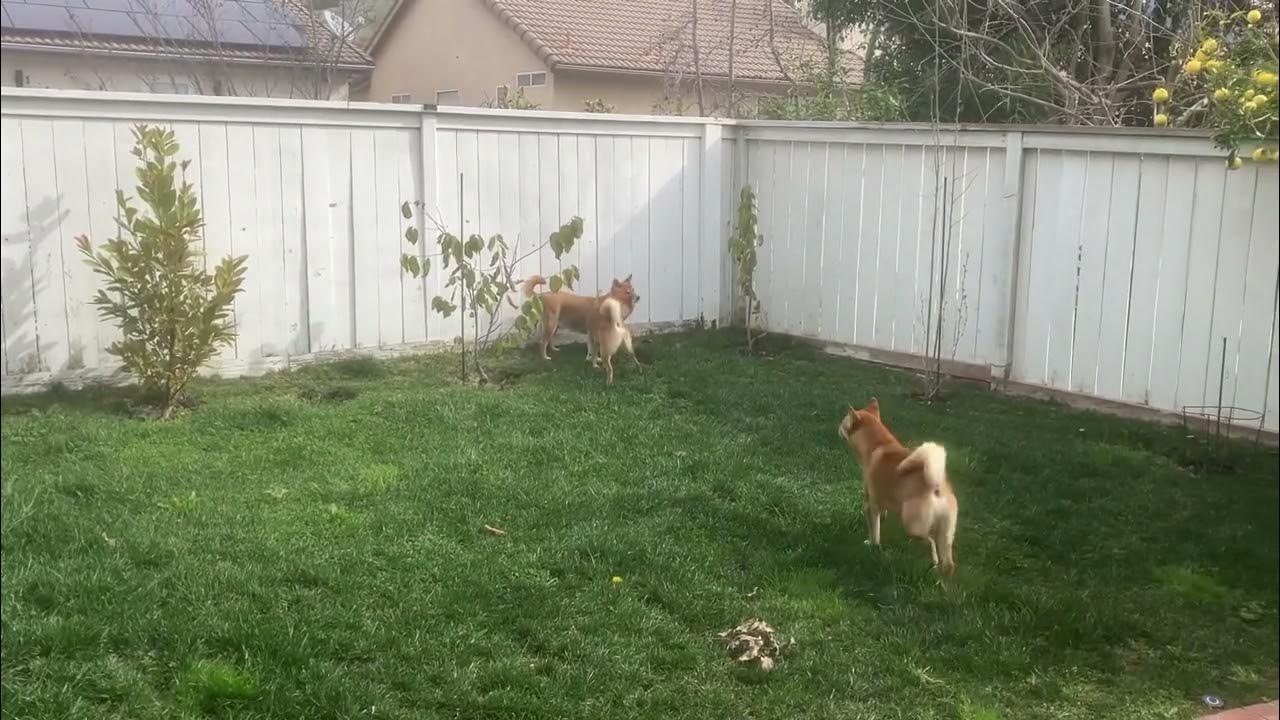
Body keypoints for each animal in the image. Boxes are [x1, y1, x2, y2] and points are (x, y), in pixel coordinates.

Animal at [839, 394, 962, 573]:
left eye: (844, 421)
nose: (838, 427)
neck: (878, 443)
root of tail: (936, 486)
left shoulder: (870, 504)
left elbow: (874, 531)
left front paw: (872, 545)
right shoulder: (881, 502)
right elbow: (880, 519)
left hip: (912, 525)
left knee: (930, 541)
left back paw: (933, 563)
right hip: (946, 533)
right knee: (948, 562)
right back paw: (941, 577)